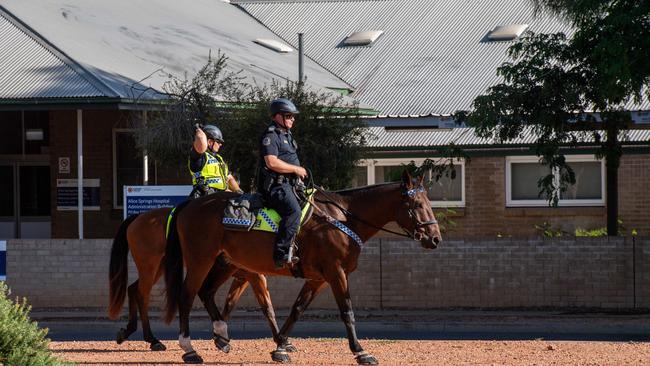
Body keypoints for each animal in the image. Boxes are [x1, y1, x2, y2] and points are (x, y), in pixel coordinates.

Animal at [107, 206, 294, 352]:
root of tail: (139, 216)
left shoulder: (242, 277)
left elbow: (229, 304)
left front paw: (220, 336)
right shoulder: (253, 275)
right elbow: (267, 307)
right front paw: (281, 342)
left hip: (158, 268)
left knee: (133, 289)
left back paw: (129, 331)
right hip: (149, 266)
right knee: (142, 295)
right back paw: (152, 339)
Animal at [165, 172, 442, 366]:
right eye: (417, 204)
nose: (435, 238)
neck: (341, 219)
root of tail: (190, 205)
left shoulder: (318, 279)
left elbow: (297, 310)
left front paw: (280, 346)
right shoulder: (336, 273)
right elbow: (347, 311)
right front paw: (361, 351)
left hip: (226, 263)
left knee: (207, 292)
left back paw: (222, 336)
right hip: (201, 260)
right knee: (187, 296)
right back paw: (189, 349)